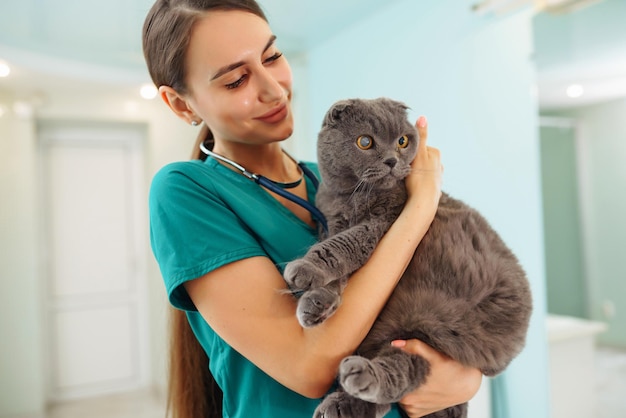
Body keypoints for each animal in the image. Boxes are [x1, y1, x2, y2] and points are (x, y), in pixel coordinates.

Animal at [282, 97, 532, 418]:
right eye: (365, 142)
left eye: (402, 141)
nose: (392, 160)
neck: (348, 198)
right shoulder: (331, 222)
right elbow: (336, 269)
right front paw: (317, 304)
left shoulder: (380, 225)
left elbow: (339, 249)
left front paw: (304, 270)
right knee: (405, 371)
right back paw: (342, 403)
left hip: (443, 332)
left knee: (402, 372)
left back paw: (357, 377)